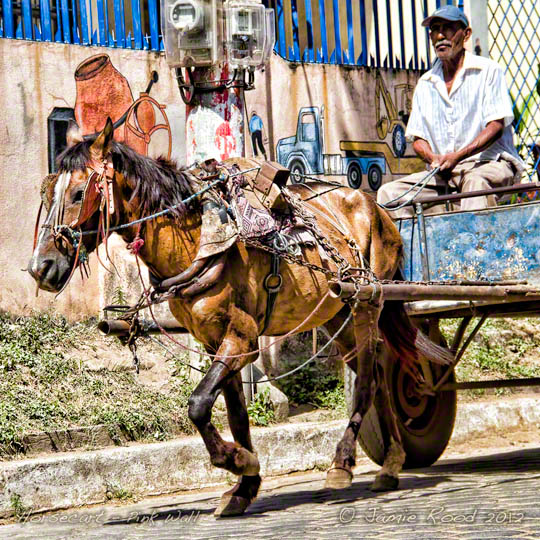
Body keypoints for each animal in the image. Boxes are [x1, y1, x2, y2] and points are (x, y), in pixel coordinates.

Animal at [27, 120, 450, 516]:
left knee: (366, 378)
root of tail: (375, 206)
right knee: (375, 372)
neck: (196, 239)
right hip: (337, 310)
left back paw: (343, 463)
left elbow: (198, 404)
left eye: (78, 194)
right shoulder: (214, 340)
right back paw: (392, 463)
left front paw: (238, 461)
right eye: (45, 193)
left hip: (368, 303)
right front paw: (245, 485)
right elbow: (235, 415)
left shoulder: (242, 338)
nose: (40, 267)